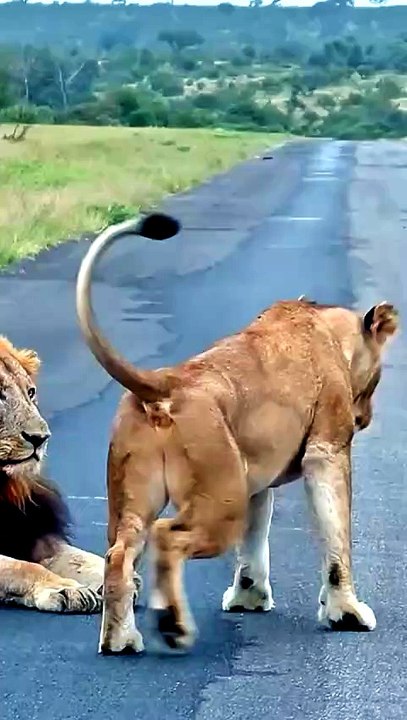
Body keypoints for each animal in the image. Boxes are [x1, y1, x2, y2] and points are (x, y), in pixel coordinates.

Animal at [0, 334, 105, 613]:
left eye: (30, 392)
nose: (41, 438)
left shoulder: (30, 526)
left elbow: (68, 554)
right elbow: (20, 567)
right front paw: (65, 588)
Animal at [75, 212, 399, 655]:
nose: (364, 416)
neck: (326, 328)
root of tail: (165, 384)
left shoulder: (255, 476)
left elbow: (255, 539)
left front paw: (248, 597)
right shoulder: (327, 449)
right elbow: (337, 536)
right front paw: (346, 613)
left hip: (136, 499)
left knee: (119, 554)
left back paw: (120, 640)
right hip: (220, 500)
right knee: (168, 537)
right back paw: (172, 625)